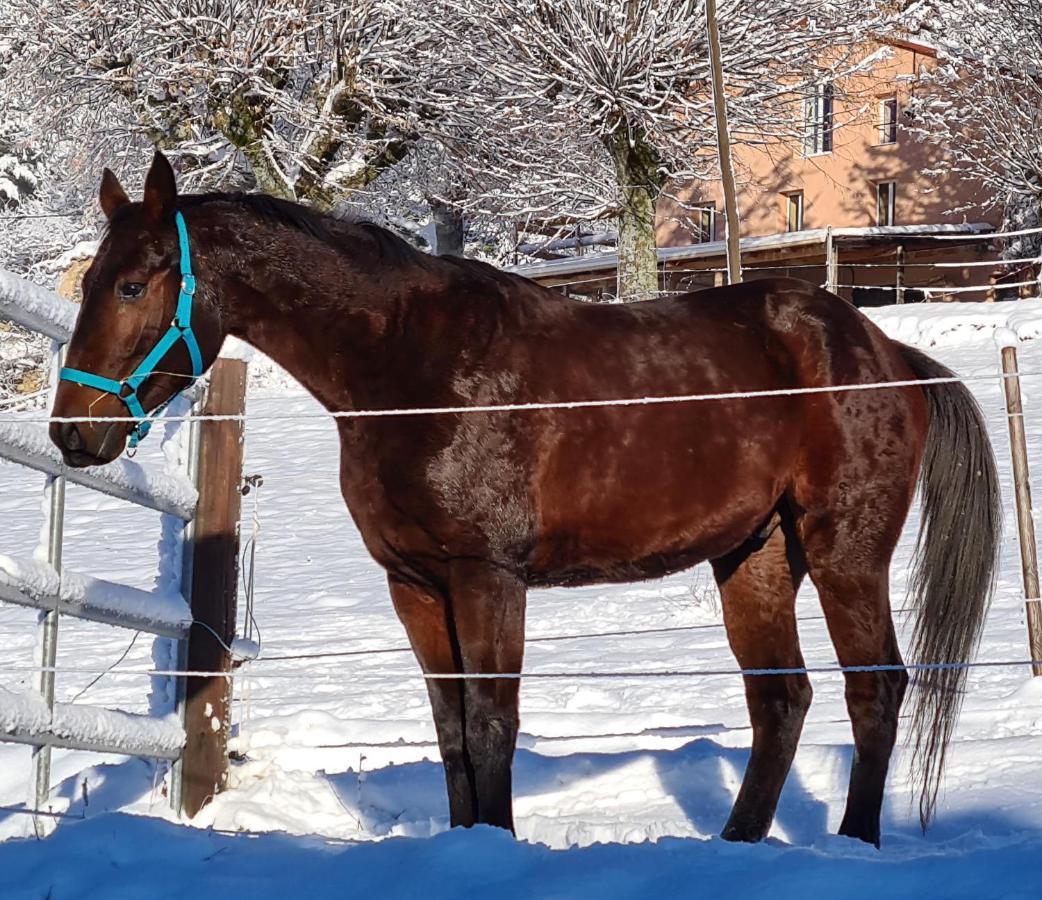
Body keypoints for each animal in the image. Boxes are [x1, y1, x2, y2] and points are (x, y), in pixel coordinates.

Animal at [50, 151, 1000, 845]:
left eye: (132, 285)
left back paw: (855, 843)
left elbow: (490, 724)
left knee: (875, 691)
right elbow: (449, 731)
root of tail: (887, 351)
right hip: (755, 557)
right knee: (782, 701)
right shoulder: (415, 584)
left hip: (845, 554)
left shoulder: (488, 576)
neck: (411, 370)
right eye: (90, 282)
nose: (71, 434)